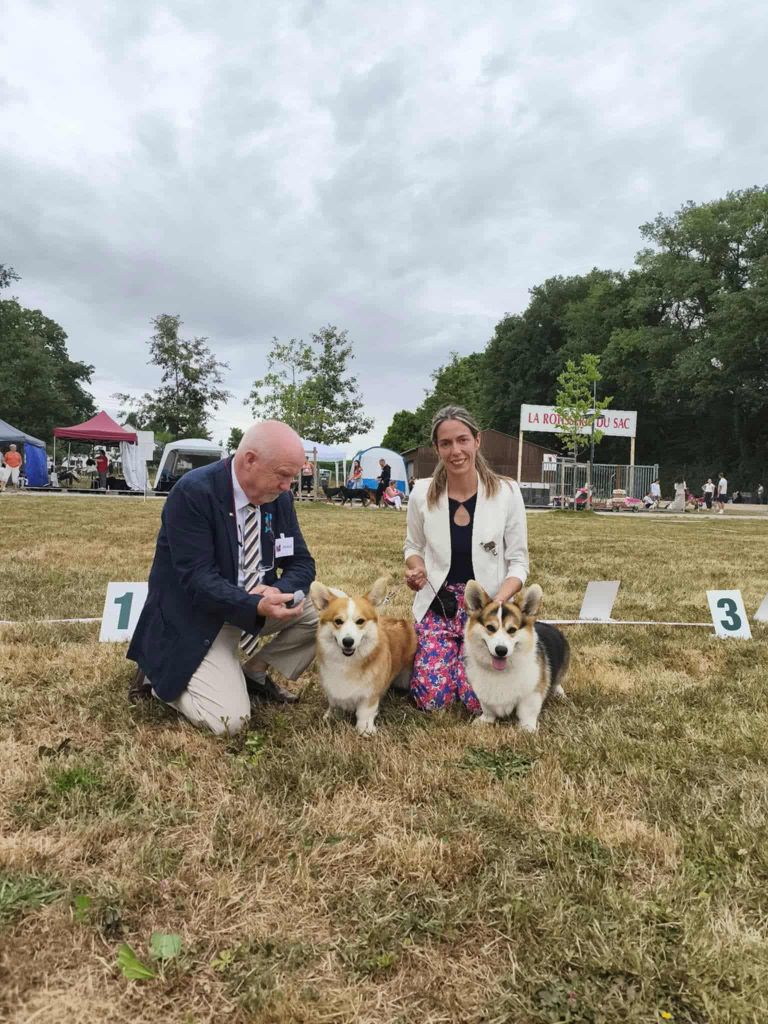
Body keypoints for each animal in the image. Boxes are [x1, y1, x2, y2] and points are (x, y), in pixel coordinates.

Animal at [309, 577, 416, 736]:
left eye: (360, 621)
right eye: (338, 621)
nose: (348, 642)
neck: (347, 663)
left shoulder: (369, 695)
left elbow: (364, 712)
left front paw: (364, 730)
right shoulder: (332, 687)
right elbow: (334, 703)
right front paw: (331, 716)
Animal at [463, 581, 569, 731]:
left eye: (512, 630)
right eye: (490, 628)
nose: (501, 650)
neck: (500, 672)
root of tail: (551, 626)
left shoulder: (532, 693)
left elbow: (527, 711)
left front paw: (527, 728)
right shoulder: (484, 694)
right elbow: (488, 709)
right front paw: (485, 720)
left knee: (557, 682)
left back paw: (560, 694)